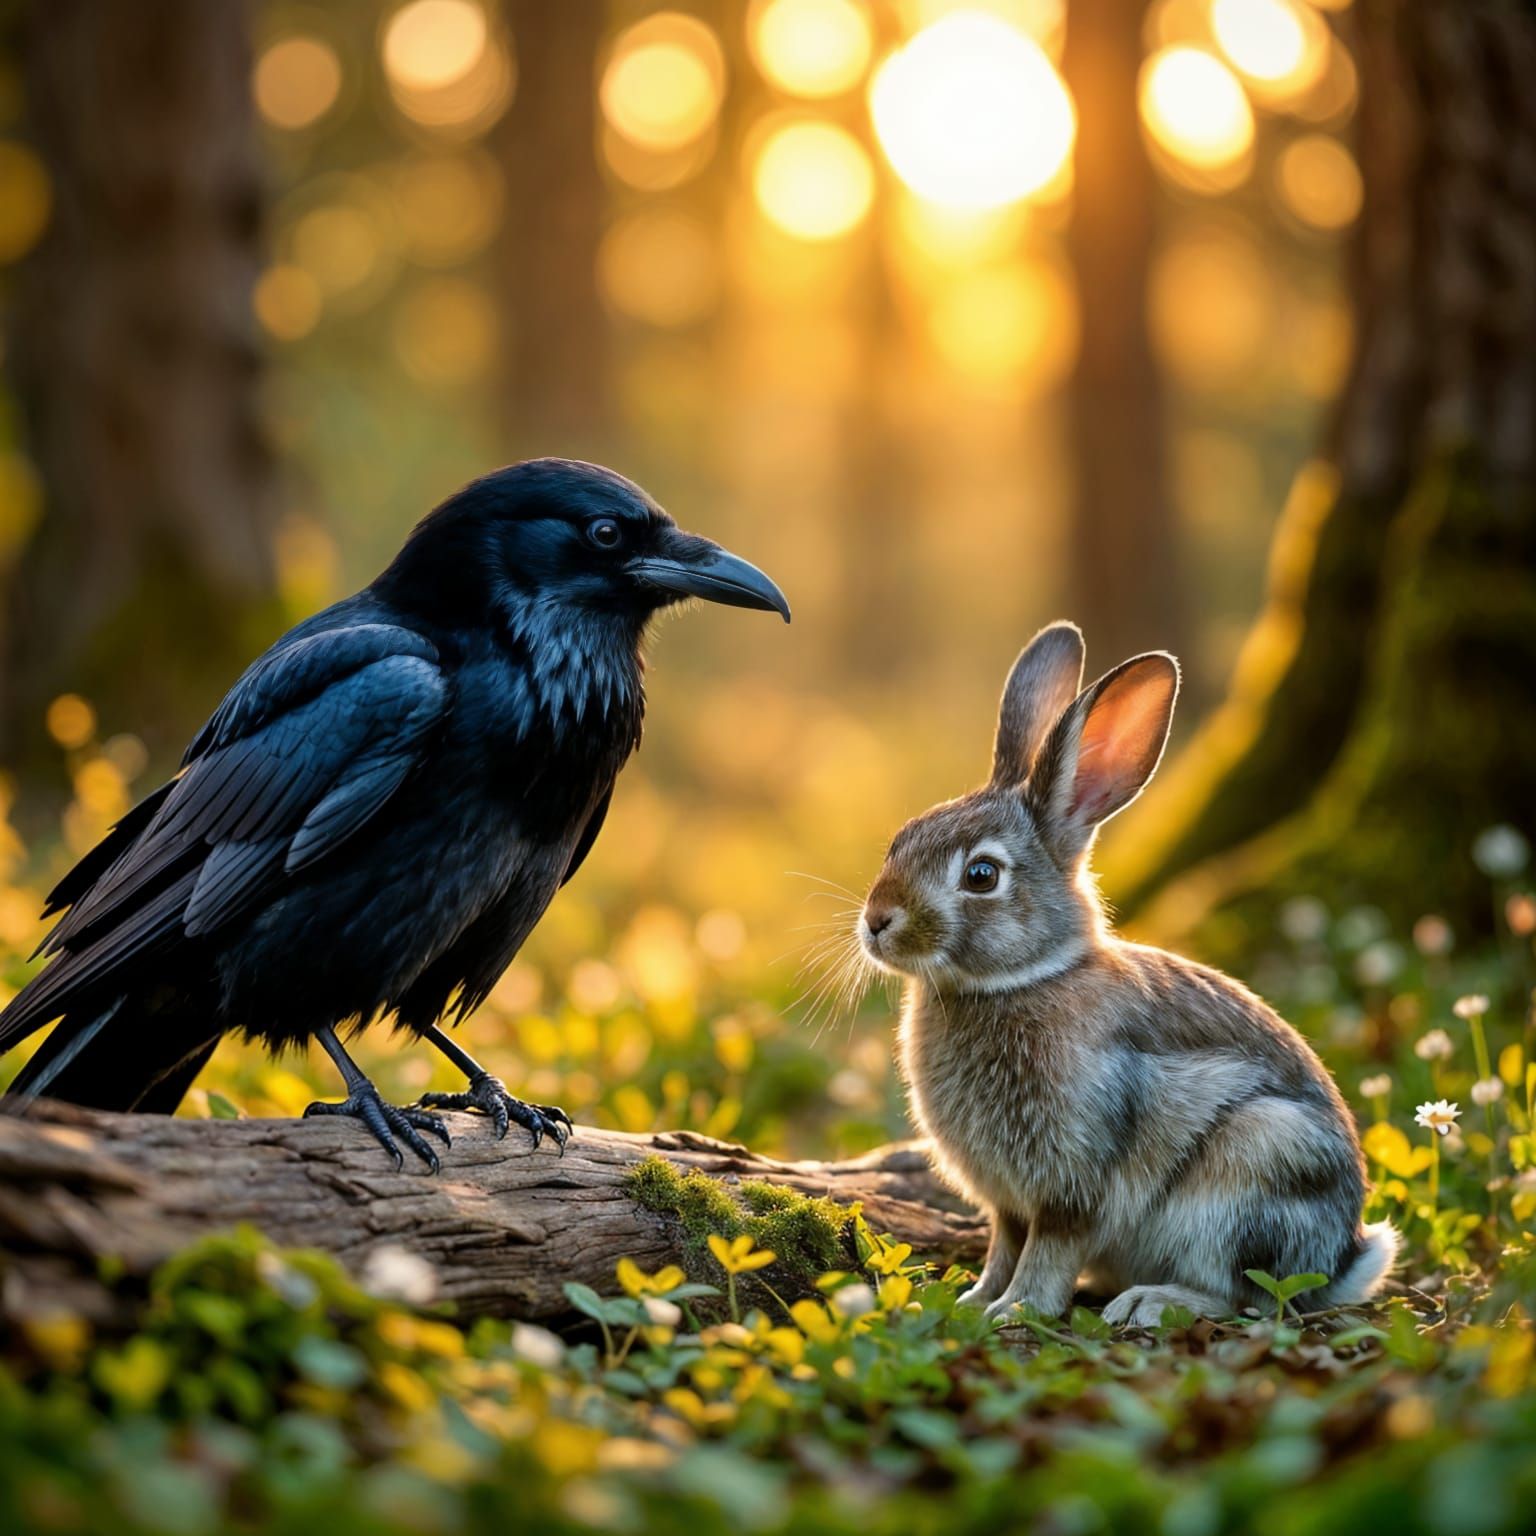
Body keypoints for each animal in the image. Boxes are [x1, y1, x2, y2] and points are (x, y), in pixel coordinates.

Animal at [855, 621, 1398, 1327]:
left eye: (980, 875)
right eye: (899, 839)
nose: (876, 921)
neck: (1023, 979)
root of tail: (1345, 1257)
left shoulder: (1074, 1177)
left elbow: (1050, 1249)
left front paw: (1017, 1310)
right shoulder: (1007, 1199)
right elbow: (1005, 1242)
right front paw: (973, 1300)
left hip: (1254, 1163)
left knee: (1245, 1295)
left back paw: (1149, 1302)